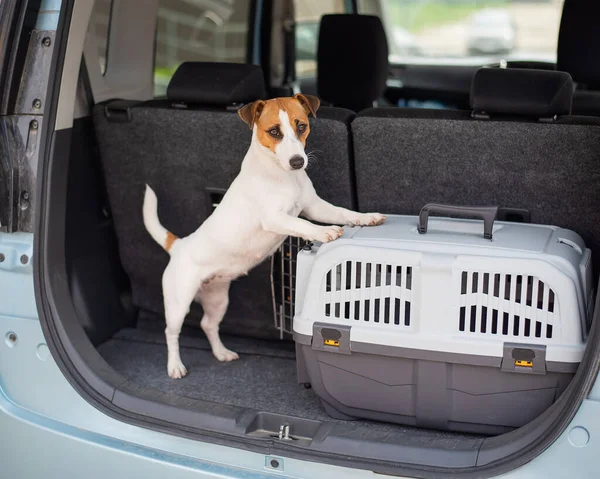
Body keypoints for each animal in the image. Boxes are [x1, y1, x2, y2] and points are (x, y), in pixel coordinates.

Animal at [144, 94, 386, 378]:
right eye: (274, 132)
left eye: (301, 126)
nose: (297, 162)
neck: (282, 175)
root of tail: (179, 245)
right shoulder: (275, 218)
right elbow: (302, 223)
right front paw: (324, 231)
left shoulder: (315, 206)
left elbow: (343, 212)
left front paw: (366, 217)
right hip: (178, 302)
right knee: (171, 333)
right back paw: (175, 366)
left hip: (218, 299)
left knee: (207, 325)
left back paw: (221, 352)